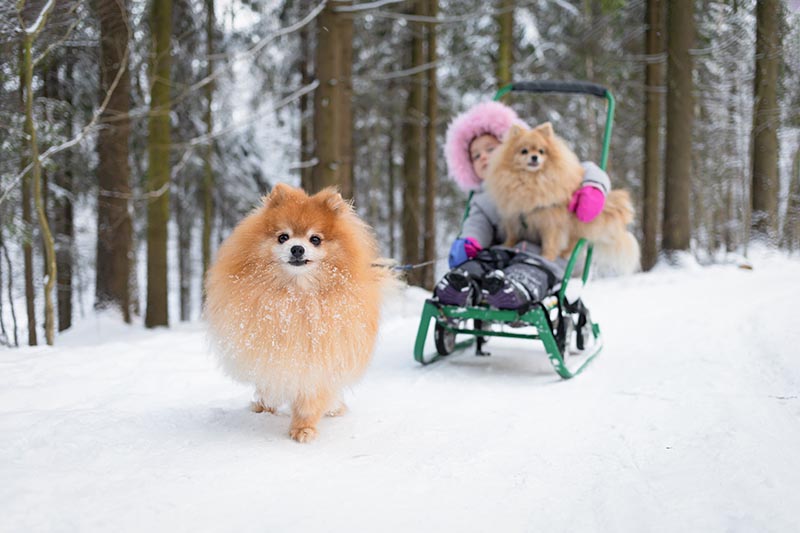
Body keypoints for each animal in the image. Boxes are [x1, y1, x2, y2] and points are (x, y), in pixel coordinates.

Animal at [205, 183, 392, 440]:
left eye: (315, 239)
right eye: (283, 237)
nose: (297, 248)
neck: (296, 295)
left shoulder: (319, 360)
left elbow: (310, 400)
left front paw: (303, 428)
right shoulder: (269, 350)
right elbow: (269, 379)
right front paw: (267, 404)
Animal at [484, 121, 640, 274]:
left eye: (541, 151)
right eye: (524, 151)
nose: (534, 157)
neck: (530, 180)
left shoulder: (551, 221)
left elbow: (550, 242)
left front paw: (547, 257)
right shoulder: (513, 216)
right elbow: (512, 234)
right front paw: (506, 245)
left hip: (576, 225)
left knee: (572, 243)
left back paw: (564, 254)